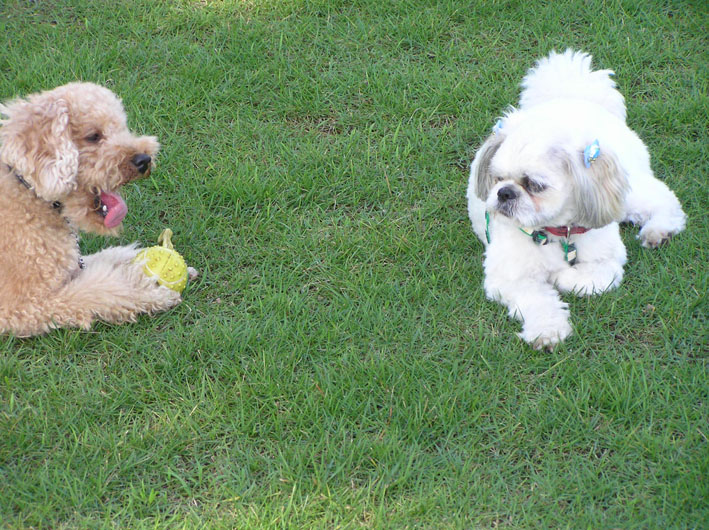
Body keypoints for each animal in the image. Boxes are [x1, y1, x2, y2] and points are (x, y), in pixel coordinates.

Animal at [0, 82, 184, 336]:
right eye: (94, 136)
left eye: (121, 127)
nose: (144, 160)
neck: (30, 195)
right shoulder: (21, 306)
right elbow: (97, 291)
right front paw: (148, 289)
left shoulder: (71, 264)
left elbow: (105, 259)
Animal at [467, 50, 686, 349]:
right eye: (497, 178)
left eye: (534, 185)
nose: (504, 193)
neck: (556, 232)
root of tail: (573, 96)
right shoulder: (509, 277)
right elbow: (537, 299)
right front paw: (547, 330)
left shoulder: (609, 261)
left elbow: (588, 279)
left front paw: (560, 276)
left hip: (624, 191)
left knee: (662, 199)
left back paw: (659, 230)